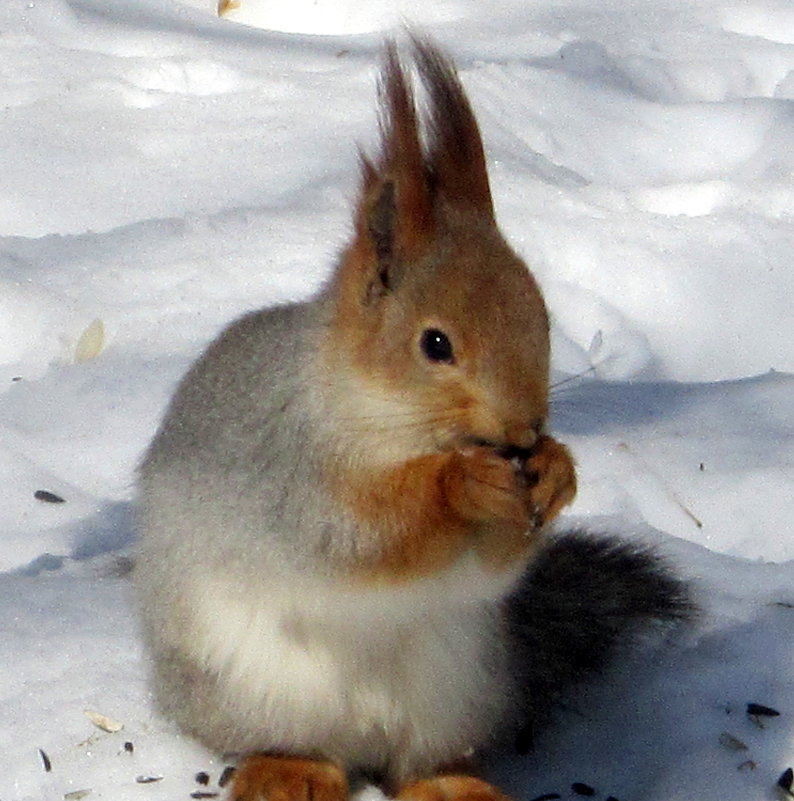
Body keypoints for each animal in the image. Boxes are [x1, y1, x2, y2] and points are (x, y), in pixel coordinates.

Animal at [135, 39, 688, 801]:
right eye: (435, 344)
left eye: (541, 315)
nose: (524, 431)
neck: (392, 422)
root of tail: (361, 737)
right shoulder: (291, 469)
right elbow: (363, 535)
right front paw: (461, 485)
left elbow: (489, 567)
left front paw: (557, 471)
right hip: (249, 683)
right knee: (289, 739)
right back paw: (290, 769)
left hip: (459, 686)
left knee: (422, 760)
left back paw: (452, 784)